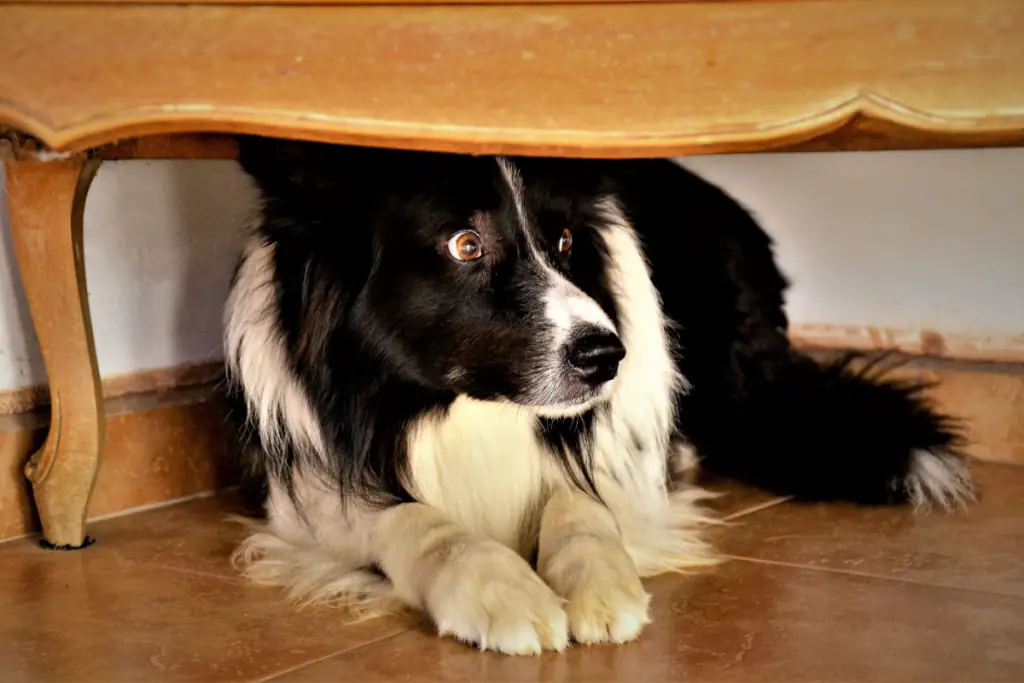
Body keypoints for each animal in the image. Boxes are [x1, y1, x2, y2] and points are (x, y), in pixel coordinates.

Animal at [224, 136, 974, 655]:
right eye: (465, 244)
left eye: (561, 240)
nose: (607, 355)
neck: (466, 410)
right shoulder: (308, 497)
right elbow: (410, 519)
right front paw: (498, 588)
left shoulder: (604, 450)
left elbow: (581, 502)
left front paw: (599, 582)